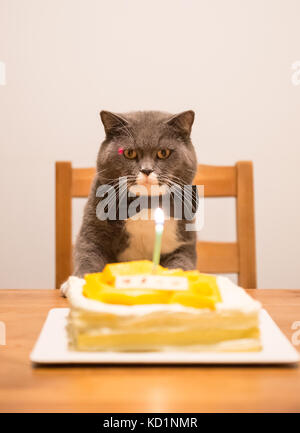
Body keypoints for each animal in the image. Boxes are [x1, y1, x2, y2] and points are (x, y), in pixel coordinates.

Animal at [73, 109, 198, 276]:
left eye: (163, 152)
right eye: (129, 153)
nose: (146, 170)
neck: (146, 203)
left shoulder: (183, 243)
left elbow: (181, 263)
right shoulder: (92, 233)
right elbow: (88, 258)